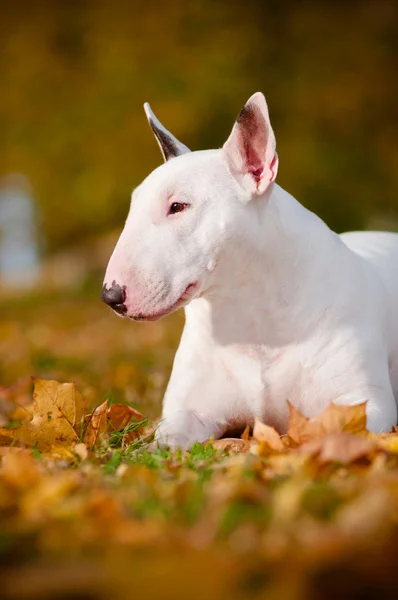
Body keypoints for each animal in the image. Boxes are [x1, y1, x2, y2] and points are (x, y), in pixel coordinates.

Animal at [102, 92, 398, 446]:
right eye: (134, 205)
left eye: (178, 206)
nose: (111, 295)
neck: (249, 318)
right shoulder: (186, 411)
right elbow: (164, 443)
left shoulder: (364, 404)